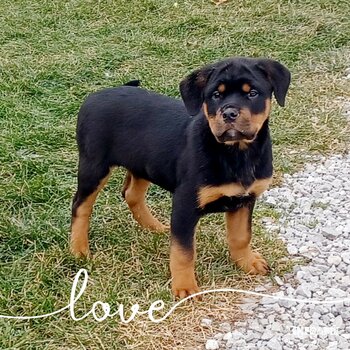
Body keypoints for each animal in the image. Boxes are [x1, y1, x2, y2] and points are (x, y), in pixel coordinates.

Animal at [70, 56, 290, 298]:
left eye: (252, 93)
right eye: (216, 95)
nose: (229, 114)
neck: (237, 153)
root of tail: (94, 96)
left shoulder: (245, 199)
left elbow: (241, 236)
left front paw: (247, 262)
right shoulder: (185, 204)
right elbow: (183, 251)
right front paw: (185, 288)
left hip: (144, 164)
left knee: (131, 194)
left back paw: (154, 227)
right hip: (94, 165)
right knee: (81, 206)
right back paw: (79, 250)